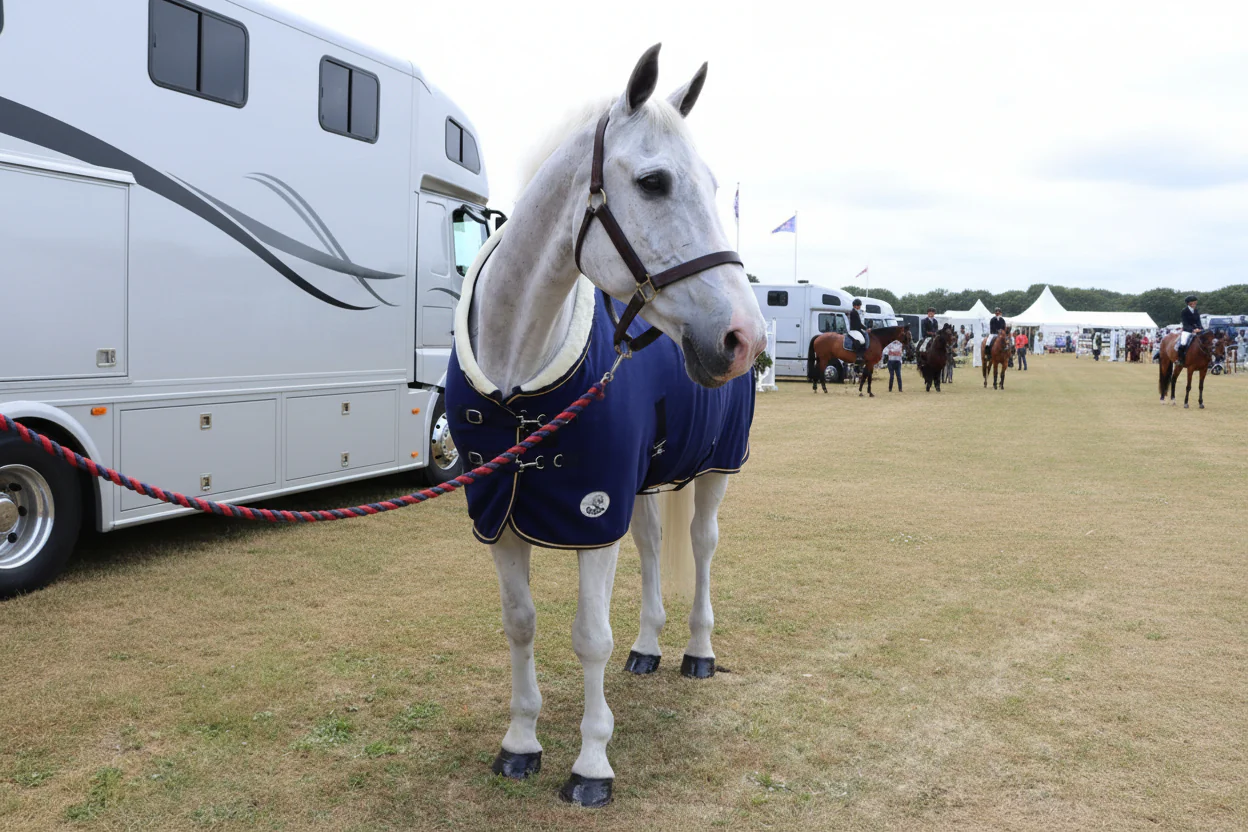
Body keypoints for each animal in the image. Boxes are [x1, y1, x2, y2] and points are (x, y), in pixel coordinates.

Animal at [442, 46, 766, 807]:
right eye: (653, 181)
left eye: (714, 185)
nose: (744, 336)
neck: (518, 376)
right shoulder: (499, 514)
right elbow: (520, 624)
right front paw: (520, 743)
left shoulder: (594, 512)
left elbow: (589, 636)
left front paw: (591, 765)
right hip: (646, 482)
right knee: (650, 547)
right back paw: (648, 649)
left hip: (715, 468)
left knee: (701, 547)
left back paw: (696, 652)